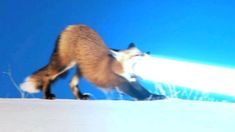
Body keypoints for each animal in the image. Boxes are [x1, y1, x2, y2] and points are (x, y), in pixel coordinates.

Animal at [20, 24, 165, 100]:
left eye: (141, 51)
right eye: (136, 55)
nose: (148, 53)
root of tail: (71, 26)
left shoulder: (132, 82)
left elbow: (145, 91)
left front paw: (155, 96)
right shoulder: (120, 83)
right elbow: (138, 94)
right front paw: (148, 99)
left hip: (81, 69)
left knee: (71, 83)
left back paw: (80, 97)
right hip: (65, 65)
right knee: (47, 77)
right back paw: (47, 95)